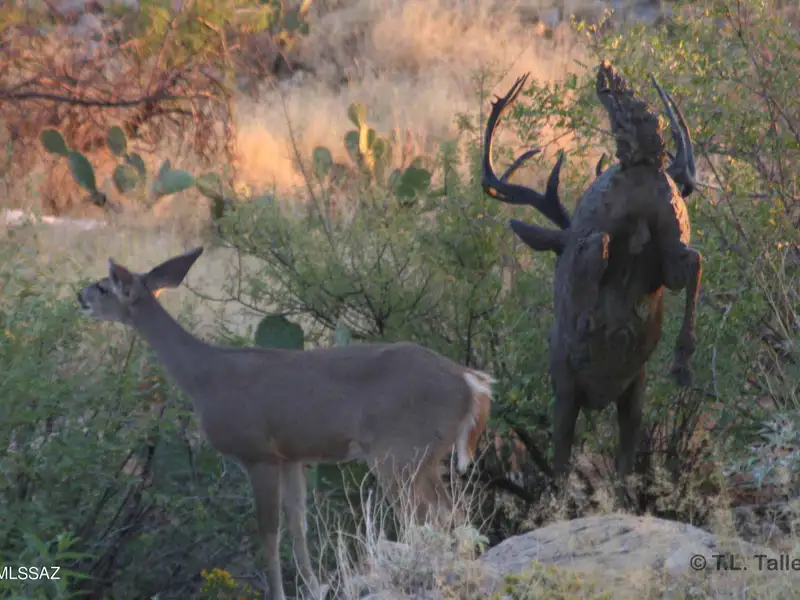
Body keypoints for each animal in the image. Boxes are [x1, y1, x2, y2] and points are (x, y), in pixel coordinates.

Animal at [76, 246, 494, 600]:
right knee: (453, 513)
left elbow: (268, 531)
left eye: (104, 285)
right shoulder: (294, 456)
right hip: (424, 457)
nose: (79, 296)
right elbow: (298, 525)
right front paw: (314, 587)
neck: (204, 377)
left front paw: (279, 592)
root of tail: (472, 383)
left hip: (400, 452)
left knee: (432, 517)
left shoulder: (258, 453)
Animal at [480, 61, 702, 501]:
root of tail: (642, 164)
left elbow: (566, 470)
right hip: (669, 217)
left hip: (602, 224)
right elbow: (614, 470)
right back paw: (680, 360)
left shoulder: (572, 388)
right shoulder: (628, 391)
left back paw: (595, 339)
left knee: (595, 248)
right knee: (686, 259)